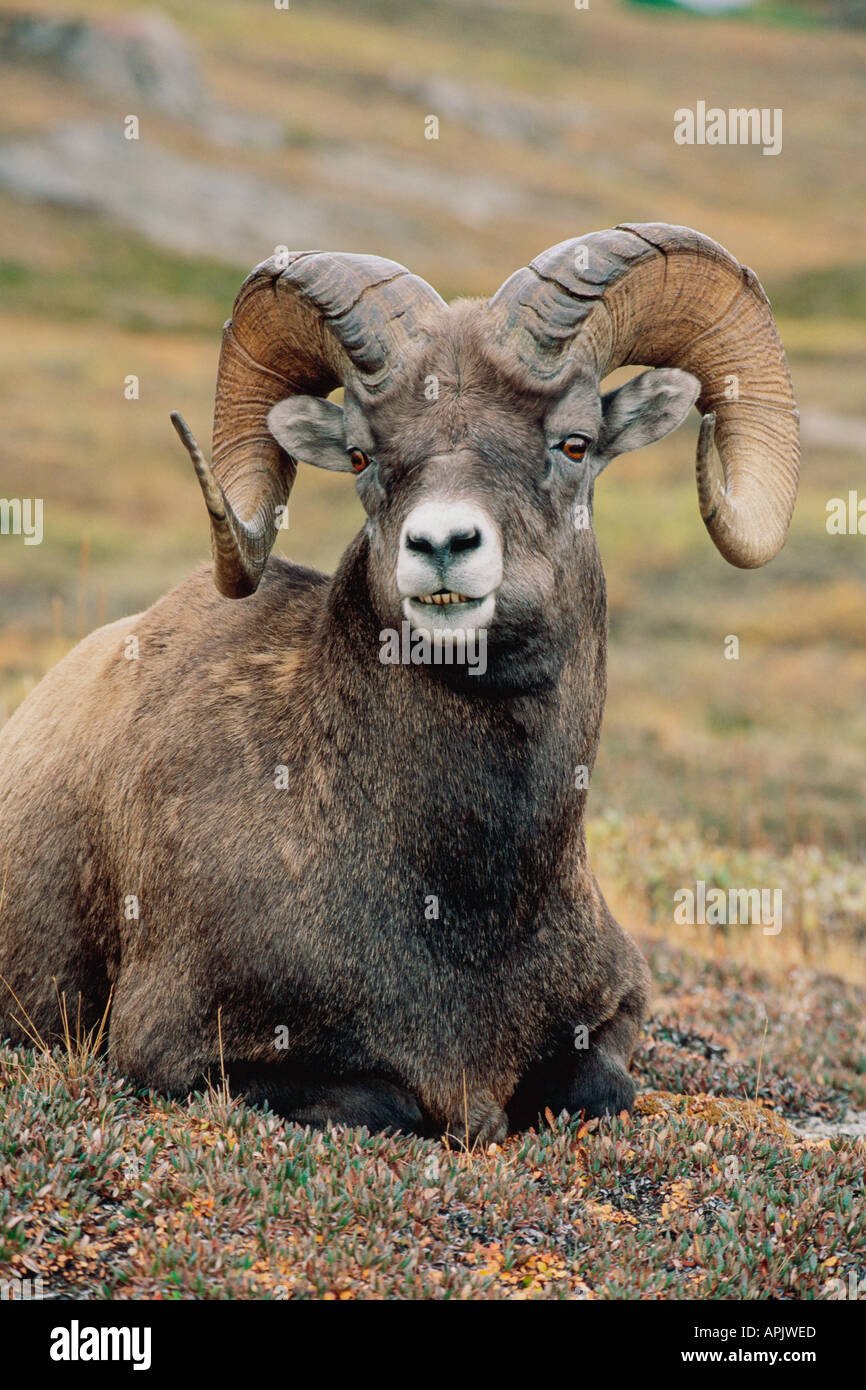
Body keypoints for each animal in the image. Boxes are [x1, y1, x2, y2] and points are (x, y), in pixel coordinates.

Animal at [0, 223, 798, 1141]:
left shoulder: (613, 1018)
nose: (442, 544)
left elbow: (600, 1089)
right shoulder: (176, 1056)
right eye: (361, 455)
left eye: (574, 443)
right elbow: (400, 1103)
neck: (461, 902)